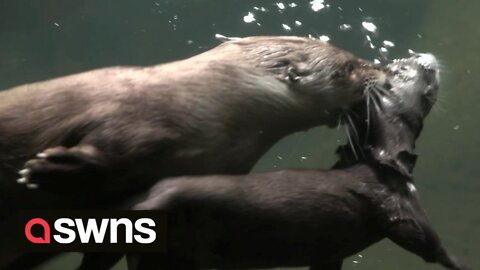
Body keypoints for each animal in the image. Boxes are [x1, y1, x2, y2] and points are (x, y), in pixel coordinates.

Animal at [124, 53, 472, 268]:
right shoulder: (402, 209)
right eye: (403, 71)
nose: (424, 58)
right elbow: (432, 247)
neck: (383, 160)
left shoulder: (332, 250)